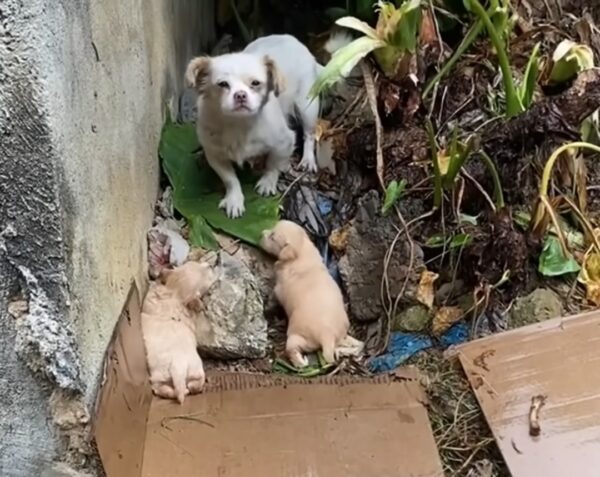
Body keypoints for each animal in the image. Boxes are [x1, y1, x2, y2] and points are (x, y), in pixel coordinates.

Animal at [141, 260, 216, 402]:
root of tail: (178, 367)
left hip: (163, 375)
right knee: (193, 385)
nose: (211, 265)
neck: (175, 294)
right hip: (193, 371)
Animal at [185, 33, 350, 218]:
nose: (240, 95)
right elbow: (230, 179)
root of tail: (299, 44)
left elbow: (273, 164)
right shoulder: (215, 155)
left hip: (307, 107)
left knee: (309, 134)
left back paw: (307, 160)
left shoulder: (284, 142)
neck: (239, 125)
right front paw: (235, 200)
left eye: (256, 83)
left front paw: (267, 183)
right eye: (223, 84)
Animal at [260, 220, 364, 368]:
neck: (302, 251)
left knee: (292, 350)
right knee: (357, 344)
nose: (261, 233)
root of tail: (327, 336)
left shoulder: (278, 289)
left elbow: (273, 297)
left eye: (273, 237)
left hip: (297, 338)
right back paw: (346, 350)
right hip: (342, 335)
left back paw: (300, 362)